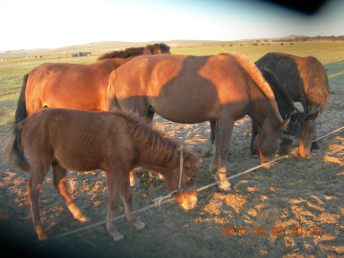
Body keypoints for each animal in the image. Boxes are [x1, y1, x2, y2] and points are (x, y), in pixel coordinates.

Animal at [3, 108, 199, 242]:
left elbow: (128, 196)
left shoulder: (124, 171)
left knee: (59, 185)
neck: (129, 138)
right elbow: (113, 200)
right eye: (190, 180)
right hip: (41, 163)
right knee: (32, 190)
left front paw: (135, 223)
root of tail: (24, 123)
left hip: (58, 163)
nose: (192, 204)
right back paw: (41, 233)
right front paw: (114, 231)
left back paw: (80, 216)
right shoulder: (113, 172)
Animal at [107, 53, 290, 192]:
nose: (269, 164)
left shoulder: (218, 120)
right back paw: (134, 181)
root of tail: (116, 71)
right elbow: (224, 149)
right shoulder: (227, 119)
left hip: (147, 114)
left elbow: (216, 146)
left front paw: (215, 173)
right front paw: (224, 182)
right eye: (280, 139)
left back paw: (156, 175)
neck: (243, 81)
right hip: (136, 113)